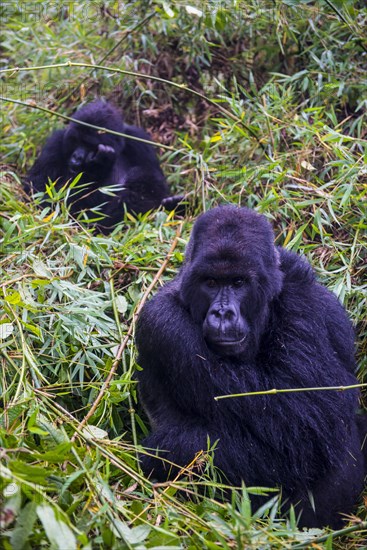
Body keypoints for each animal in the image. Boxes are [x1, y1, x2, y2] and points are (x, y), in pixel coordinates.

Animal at [24, 100, 183, 232]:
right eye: (75, 140)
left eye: (89, 144)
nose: (76, 157)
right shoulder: (56, 142)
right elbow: (39, 194)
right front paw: (98, 166)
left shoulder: (140, 142)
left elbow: (155, 187)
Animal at [136, 206, 367, 532]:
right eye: (210, 283)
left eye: (238, 283)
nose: (222, 313)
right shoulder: (161, 321)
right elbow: (301, 428)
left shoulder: (305, 299)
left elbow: (314, 418)